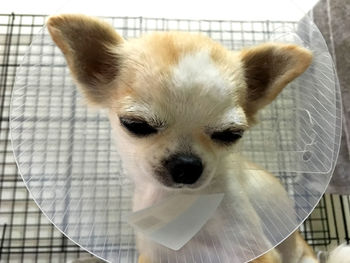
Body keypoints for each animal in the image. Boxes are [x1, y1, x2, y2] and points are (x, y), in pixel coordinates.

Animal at [45, 14, 344, 263]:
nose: (186, 165)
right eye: (136, 125)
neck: (180, 205)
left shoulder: (253, 251)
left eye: (231, 135)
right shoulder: (154, 254)